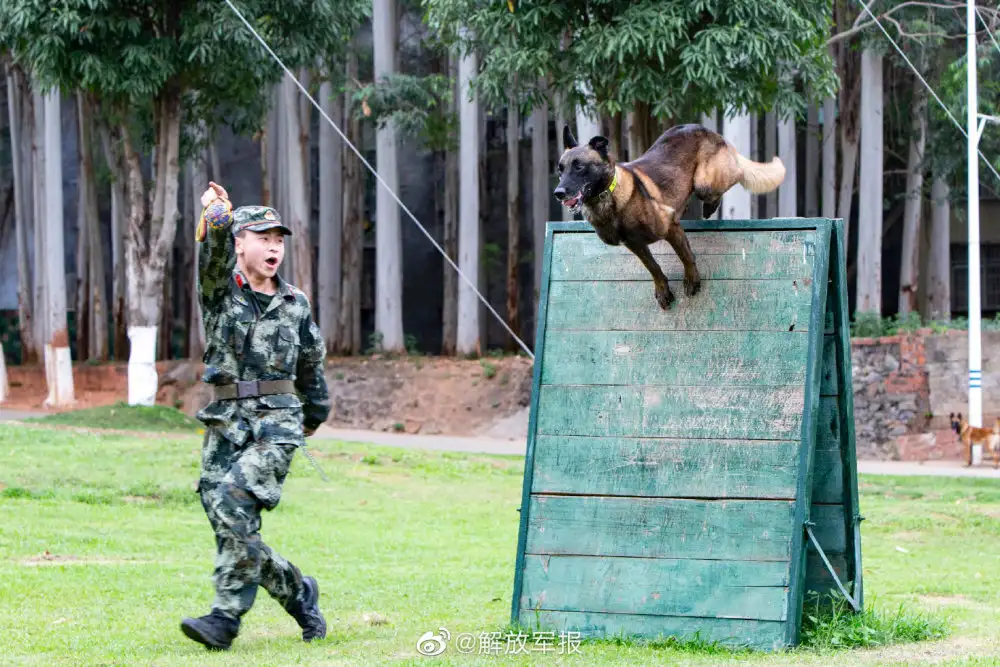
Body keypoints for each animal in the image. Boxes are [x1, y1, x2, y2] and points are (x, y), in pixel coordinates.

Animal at [552, 123, 784, 310]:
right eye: (560, 170)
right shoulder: (635, 245)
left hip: (705, 183)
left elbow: (685, 255)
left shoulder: (670, 226)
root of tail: (706, 129)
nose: (558, 193)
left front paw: (691, 279)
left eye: (579, 166)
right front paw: (662, 289)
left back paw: (711, 205)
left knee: (737, 173)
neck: (608, 199)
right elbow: (652, 267)